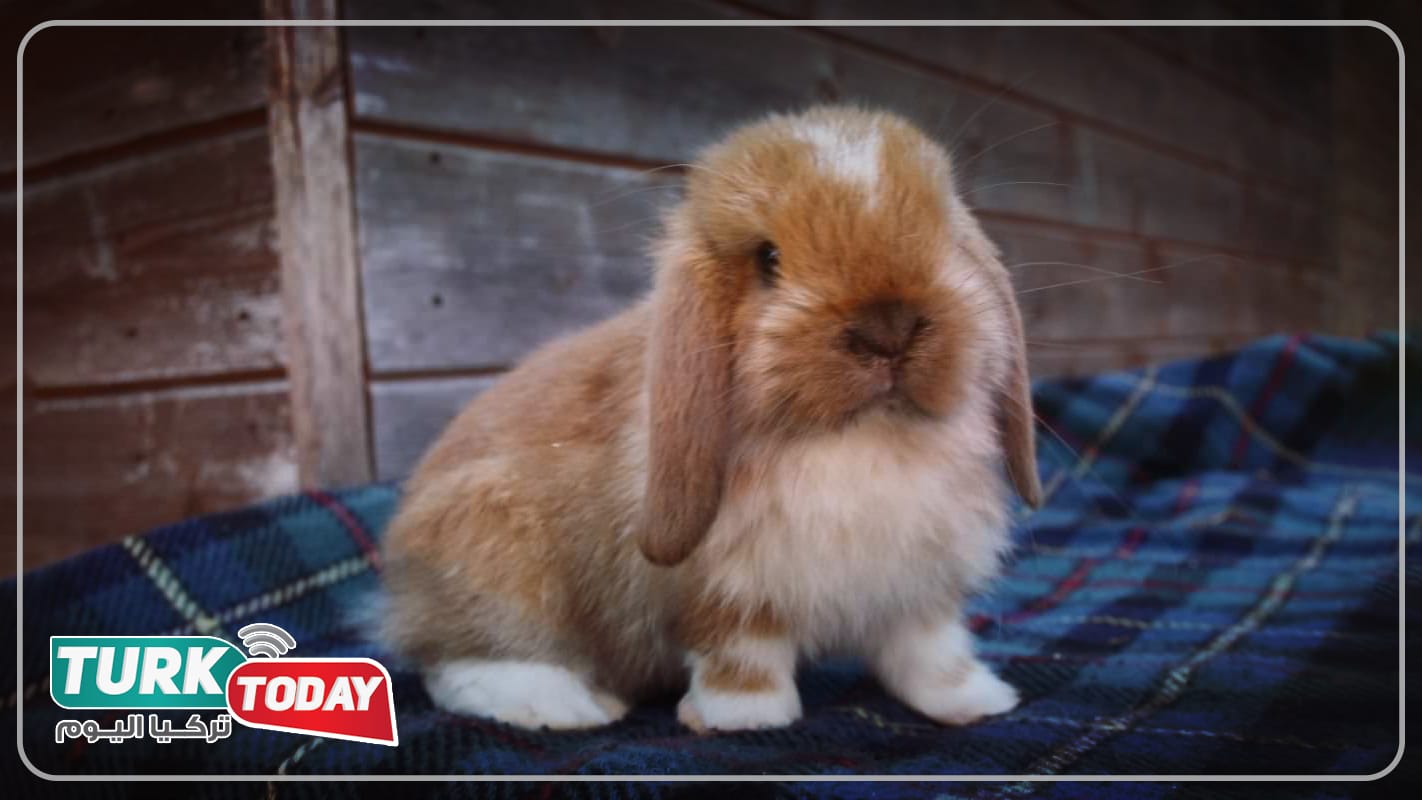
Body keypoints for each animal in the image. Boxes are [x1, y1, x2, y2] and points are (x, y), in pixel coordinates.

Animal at [379, 105, 1041, 733]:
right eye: (768, 259)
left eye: (946, 235)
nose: (889, 330)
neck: (862, 438)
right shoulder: (725, 589)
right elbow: (742, 655)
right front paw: (742, 718)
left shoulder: (919, 588)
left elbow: (932, 654)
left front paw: (977, 701)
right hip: (496, 563)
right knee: (461, 664)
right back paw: (566, 707)